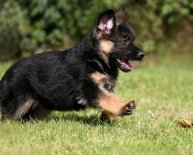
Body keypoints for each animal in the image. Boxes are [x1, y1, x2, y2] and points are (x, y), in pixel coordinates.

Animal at [0, 7, 143, 121]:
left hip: (42, 106)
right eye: (124, 40)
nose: (142, 55)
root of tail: (6, 74)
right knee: (8, 117)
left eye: (133, 39)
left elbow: (109, 99)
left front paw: (108, 117)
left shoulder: (105, 88)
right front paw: (123, 107)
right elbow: (109, 99)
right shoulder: (90, 88)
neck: (94, 58)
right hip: (19, 102)